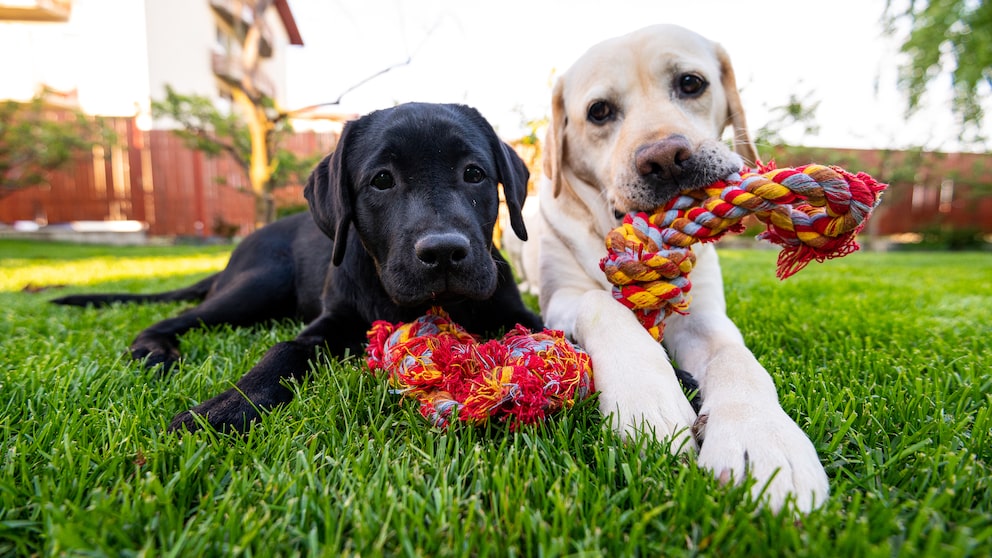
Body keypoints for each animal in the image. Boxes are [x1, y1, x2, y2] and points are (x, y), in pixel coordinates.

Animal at [54, 103, 544, 436]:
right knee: (176, 318)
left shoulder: (516, 309)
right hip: (259, 284)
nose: (443, 251)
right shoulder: (331, 320)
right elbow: (284, 349)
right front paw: (226, 407)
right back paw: (154, 351)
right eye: (382, 180)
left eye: (474, 174)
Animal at [532, 25, 832, 516]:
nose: (665, 158)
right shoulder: (560, 297)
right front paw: (648, 401)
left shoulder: (704, 316)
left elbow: (737, 359)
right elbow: (601, 304)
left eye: (691, 83)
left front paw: (762, 439)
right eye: (599, 112)